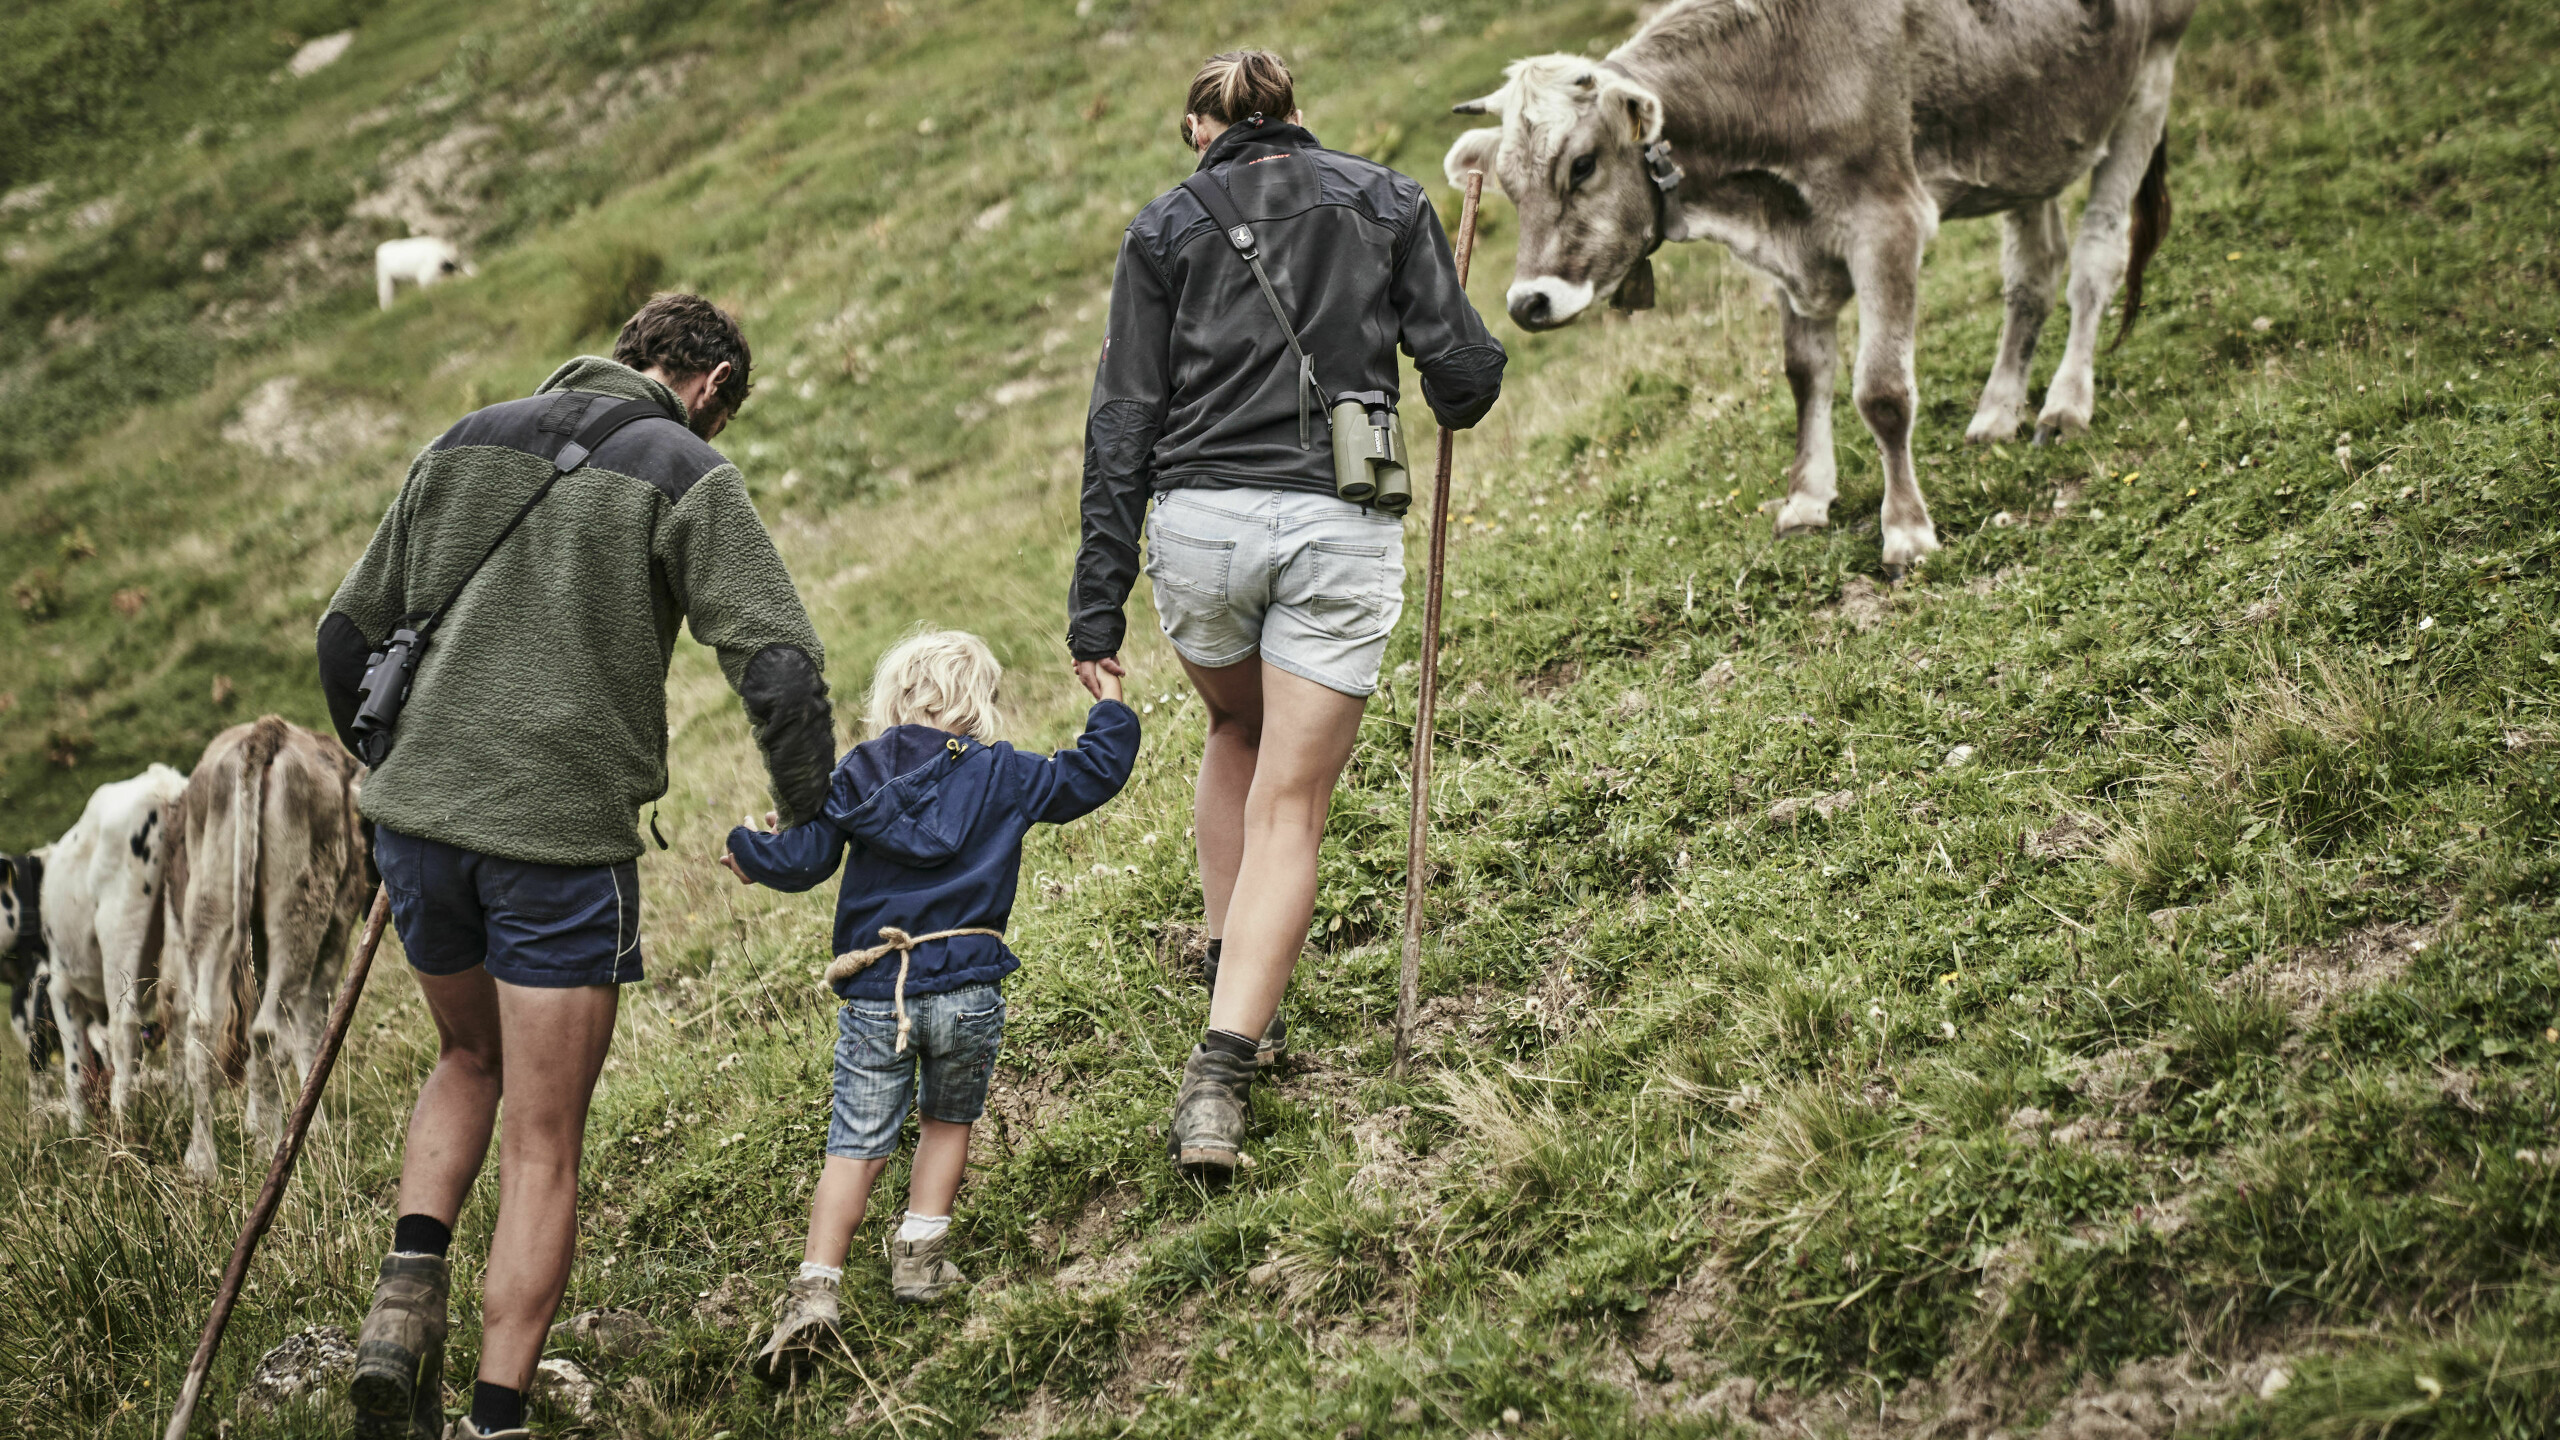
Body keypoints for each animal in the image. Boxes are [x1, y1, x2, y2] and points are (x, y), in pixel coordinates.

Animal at [162, 717, 368, 1178]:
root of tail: (267, 731)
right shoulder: (335, 933)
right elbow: (315, 1034)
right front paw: (316, 1131)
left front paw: (257, 1118)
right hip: (300, 915)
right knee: (269, 1032)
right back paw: (271, 1150)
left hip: (211, 907)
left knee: (202, 1032)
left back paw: (202, 1163)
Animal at [1454, 0, 2191, 571]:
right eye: (1508, 184)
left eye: (1582, 165)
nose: (1527, 302)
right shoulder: (1793, 253)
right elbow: (1805, 374)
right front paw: (1807, 499)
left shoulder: (1888, 223)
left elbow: (1882, 393)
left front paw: (1907, 532)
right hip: (2024, 138)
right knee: (2033, 271)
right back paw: (1997, 412)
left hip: (2149, 82)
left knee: (2095, 260)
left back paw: (2064, 406)